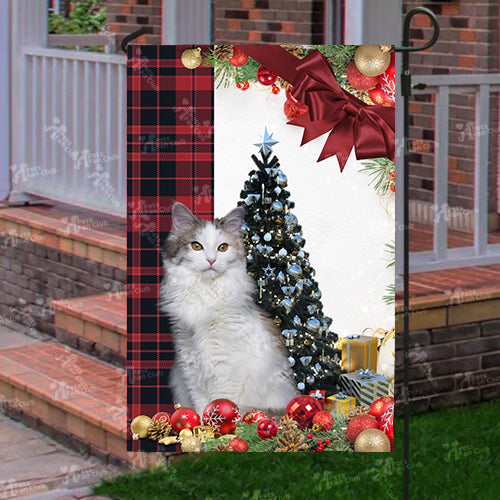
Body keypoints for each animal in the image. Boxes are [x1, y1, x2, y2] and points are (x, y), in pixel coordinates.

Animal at [160, 201, 298, 416]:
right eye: (196, 246)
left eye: (223, 247)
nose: (211, 260)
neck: (206, 293)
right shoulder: (190, 363)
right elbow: (201, 407)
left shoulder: (228, 367)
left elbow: (220, 402)